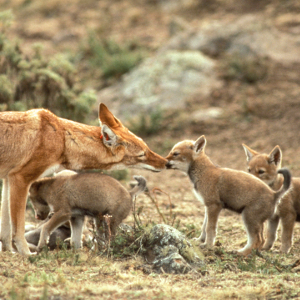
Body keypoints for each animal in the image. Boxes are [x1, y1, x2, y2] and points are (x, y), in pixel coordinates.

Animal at [0, 103, 166, 255]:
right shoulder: (20, 179)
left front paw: (10, 252)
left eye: (147, 148)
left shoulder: (9, 179)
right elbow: (17, 231)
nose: (167, 162)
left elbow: (6, 231)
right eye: (142, 154)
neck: (62, 139)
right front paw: (26, 254)